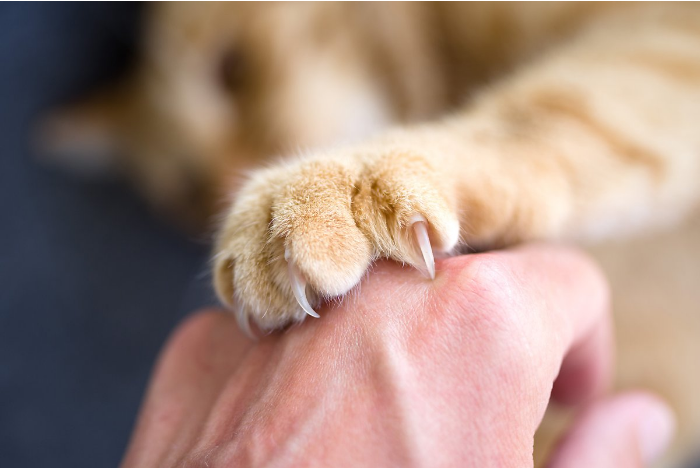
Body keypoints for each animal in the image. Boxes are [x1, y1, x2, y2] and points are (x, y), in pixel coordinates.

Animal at [43, 2, 700, 464]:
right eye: (185, 193)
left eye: (232, 67)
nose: (227, 186)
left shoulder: (667, 35)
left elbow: (549, 113)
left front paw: (345, 184)